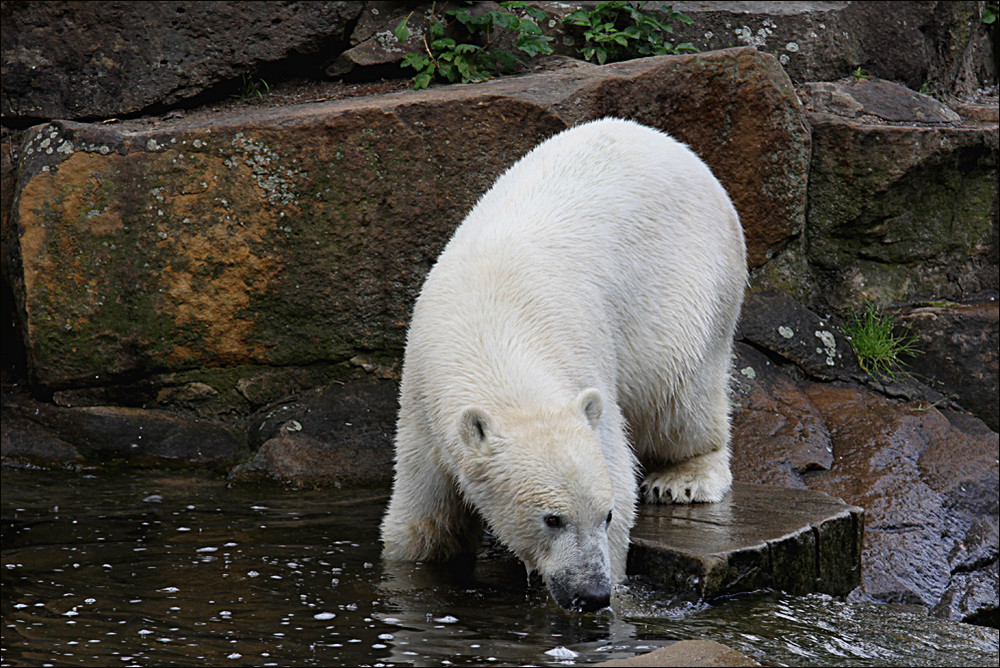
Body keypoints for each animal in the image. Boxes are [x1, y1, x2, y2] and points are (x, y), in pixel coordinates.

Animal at [378, 118, 748, 612]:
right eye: (552, 519)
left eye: (605, 516)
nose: (591, 593)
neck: (494, 332)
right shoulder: (423, 401)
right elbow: (423, 521)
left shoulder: (583, 363)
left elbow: (616, 465)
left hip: (690, 286)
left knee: (679, 395)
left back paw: (682, 478)